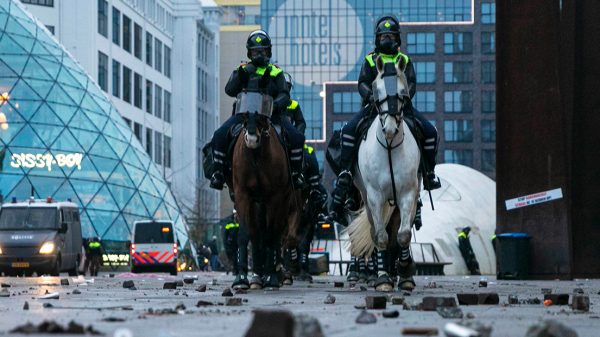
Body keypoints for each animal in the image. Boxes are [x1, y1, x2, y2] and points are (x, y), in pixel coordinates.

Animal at [231, 103, 302, 288]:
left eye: (263, 117)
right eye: (244, 116)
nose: (251, 139)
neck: (256, 158)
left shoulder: (277, 199)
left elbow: (274, 235)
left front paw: (272, 277)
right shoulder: (243, 195)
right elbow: (246, 234)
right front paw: (243, 278)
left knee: (278, 236)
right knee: (258, 235)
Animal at [346, 55, 422, 292]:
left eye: (402, 92)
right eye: (376, 91)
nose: (389, 129)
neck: (389, 147)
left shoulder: (408, 193)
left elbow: (403, 235)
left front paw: (406, 271)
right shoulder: (375, 196)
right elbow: (380, 237)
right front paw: (382, 279)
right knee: (376, 232)